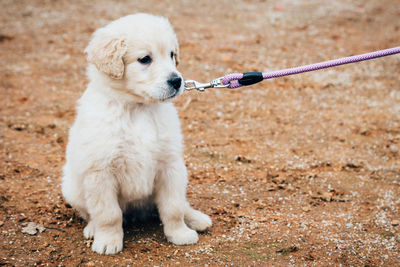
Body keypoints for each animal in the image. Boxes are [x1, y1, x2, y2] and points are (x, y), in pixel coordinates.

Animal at [61, 13, 211, 255]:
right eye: (145, 59)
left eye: (171, 54)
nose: (177, 81)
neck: (137, 108)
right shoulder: (101, 171)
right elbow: (108, 214)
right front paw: (107, 240)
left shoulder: (170, 165)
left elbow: (173, 207)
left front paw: (180, 234)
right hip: (72, 188)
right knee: (91, 212)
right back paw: (93, 229)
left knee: (181, 204)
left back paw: (196, 218)